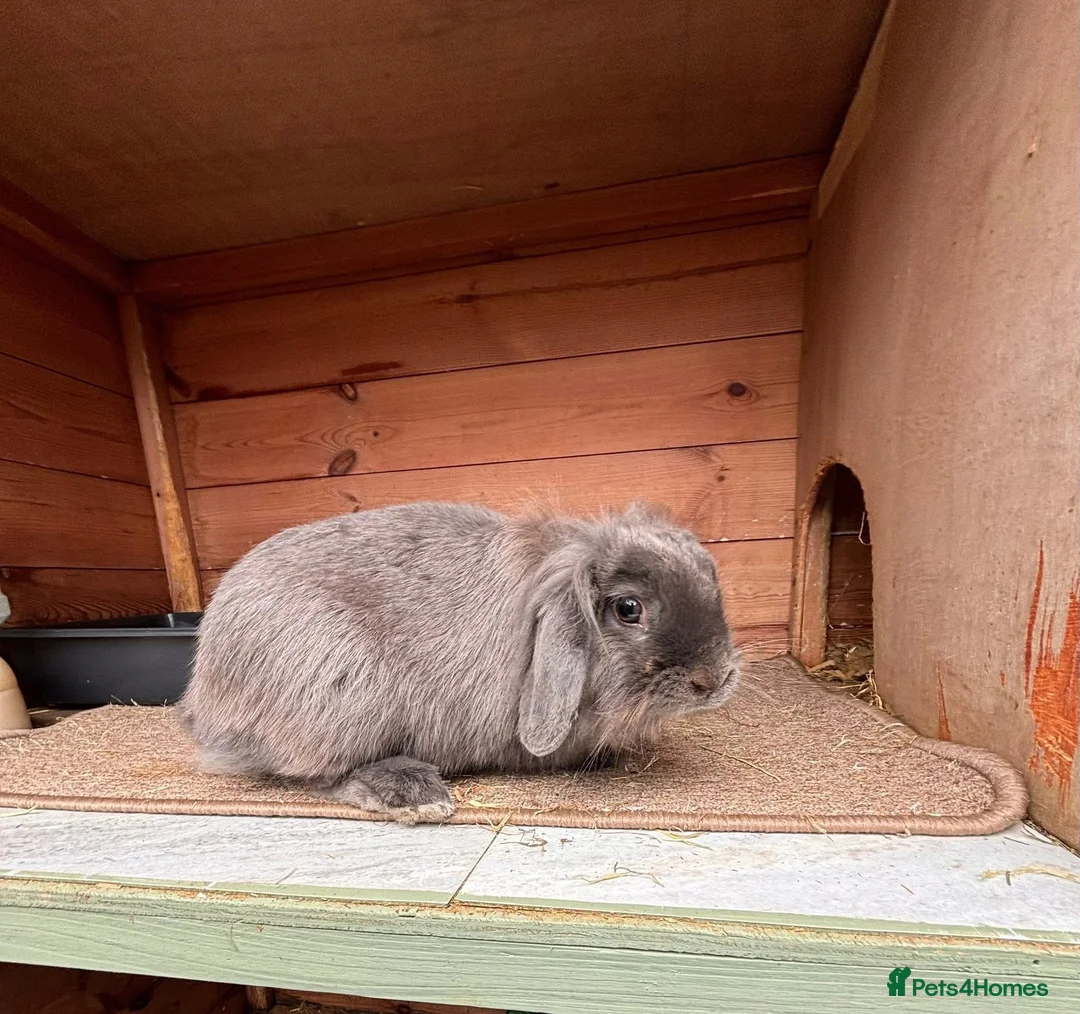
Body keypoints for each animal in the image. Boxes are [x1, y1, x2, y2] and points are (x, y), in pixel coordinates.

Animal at [178, 501, 740, 822]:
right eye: (628, 608)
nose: (714, 678)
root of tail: (205, 692)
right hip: (344, 690)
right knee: (312, 773)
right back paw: (415, 795)